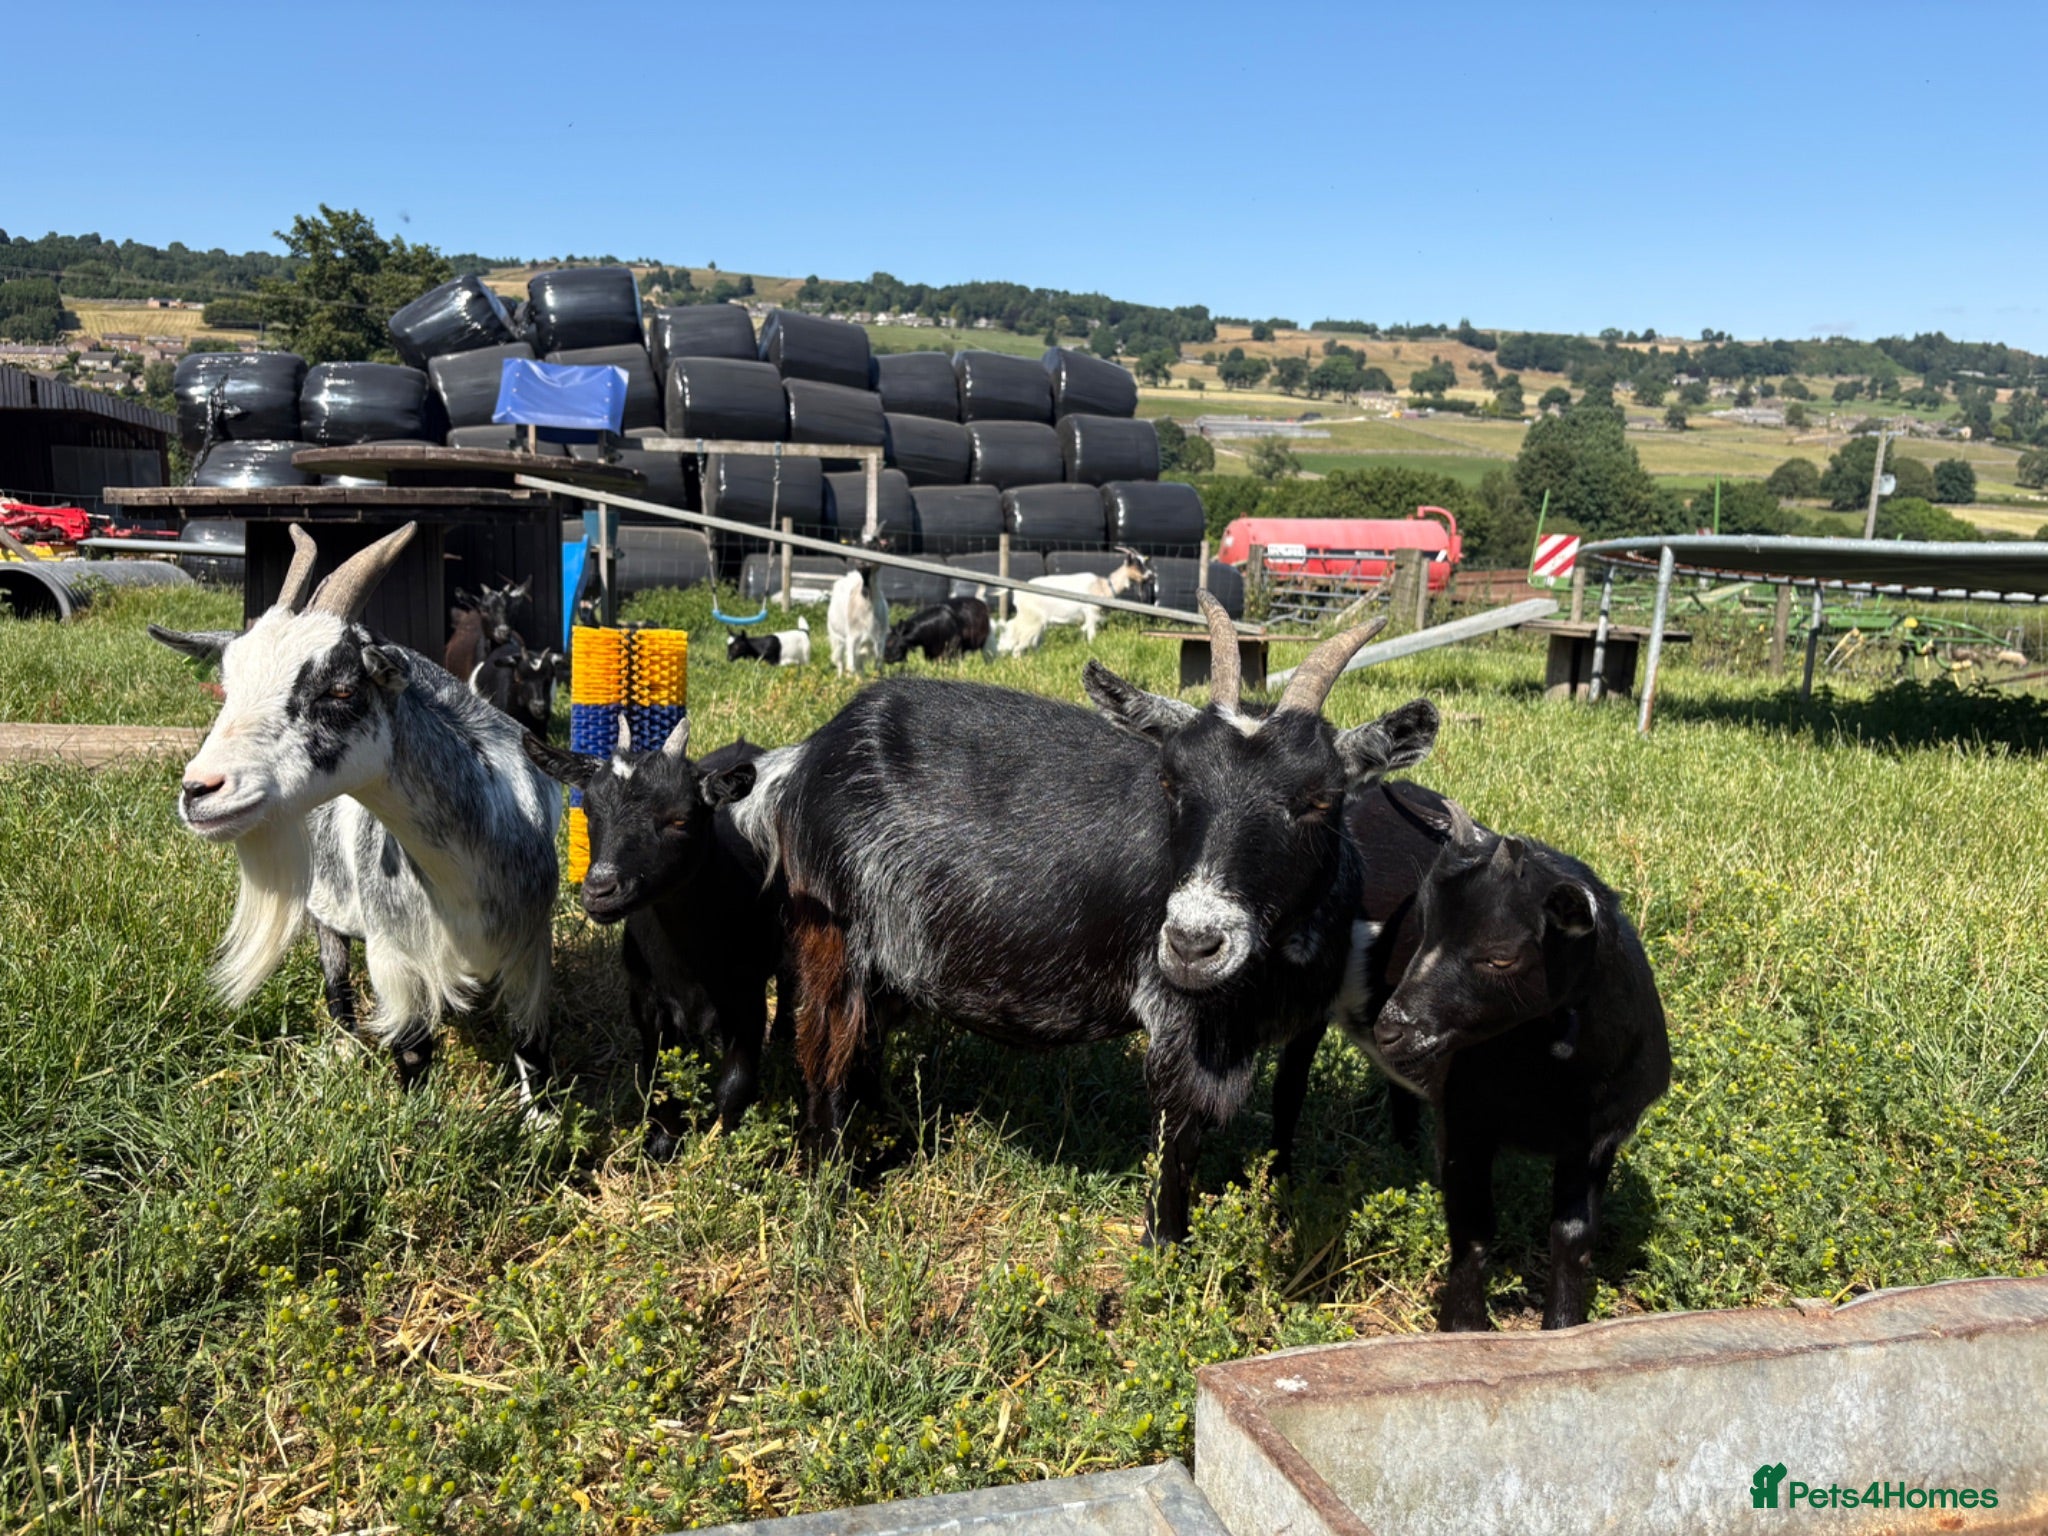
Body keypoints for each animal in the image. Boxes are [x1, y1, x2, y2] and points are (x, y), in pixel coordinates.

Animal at [150, 524, 559, 1095]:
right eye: (227, 688)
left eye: (340, 690)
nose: (198, 790)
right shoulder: (397, 959)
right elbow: (413, 1052)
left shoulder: (531, 950)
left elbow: (533, 1053)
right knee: (336, 979)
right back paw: (344, 1045)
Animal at [524, 720, 787, 1156]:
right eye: (589, 810)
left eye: (679, 819)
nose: (599, 891)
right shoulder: (646, 997)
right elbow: (658, 1074)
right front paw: (661, 1141)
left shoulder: (745, 995)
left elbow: (735, 1084)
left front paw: (716, 1147)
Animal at [738, 594, 1438, 1242]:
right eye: (1172, 783)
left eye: (1320, 798)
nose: (1193, 943)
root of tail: (802, 760)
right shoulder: (1178, 1017)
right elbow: (1176, 1139)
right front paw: (1164, 1255)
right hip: (833, 930)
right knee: (825, 1049)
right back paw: (827, 1184)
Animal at [996, 549, 1154, 654]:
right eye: (1136, 564)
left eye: (1144, 562)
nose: (1151, 575)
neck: (1102, 586)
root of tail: (1018, 593)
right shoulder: (1091, 614)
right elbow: (1091, 635)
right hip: (1032, 621)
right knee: (1017, 645)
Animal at [1333, 799, 1670, 1331]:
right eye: (1421, 927)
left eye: (1501, 957)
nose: (1392, 1028)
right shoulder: (1465, 1121)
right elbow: (1472, 1229)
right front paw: (1463, 1328)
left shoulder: (1598, 1137)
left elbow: (1572, 1237)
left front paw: (1563, 1326)